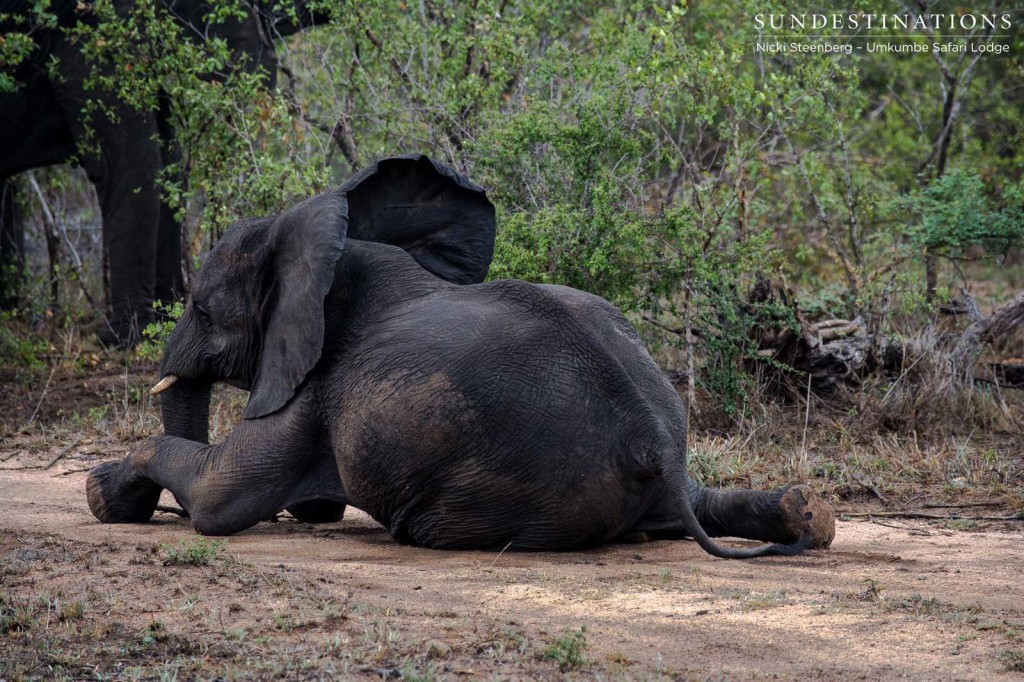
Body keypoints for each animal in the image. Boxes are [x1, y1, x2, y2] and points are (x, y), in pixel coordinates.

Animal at [86, 155, 839, 557]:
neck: (333, 248)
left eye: (201, 309)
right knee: (699, 501)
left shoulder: (318, 383)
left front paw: (104, 493)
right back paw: (806, 513)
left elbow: (221, 499)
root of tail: (652, 438)